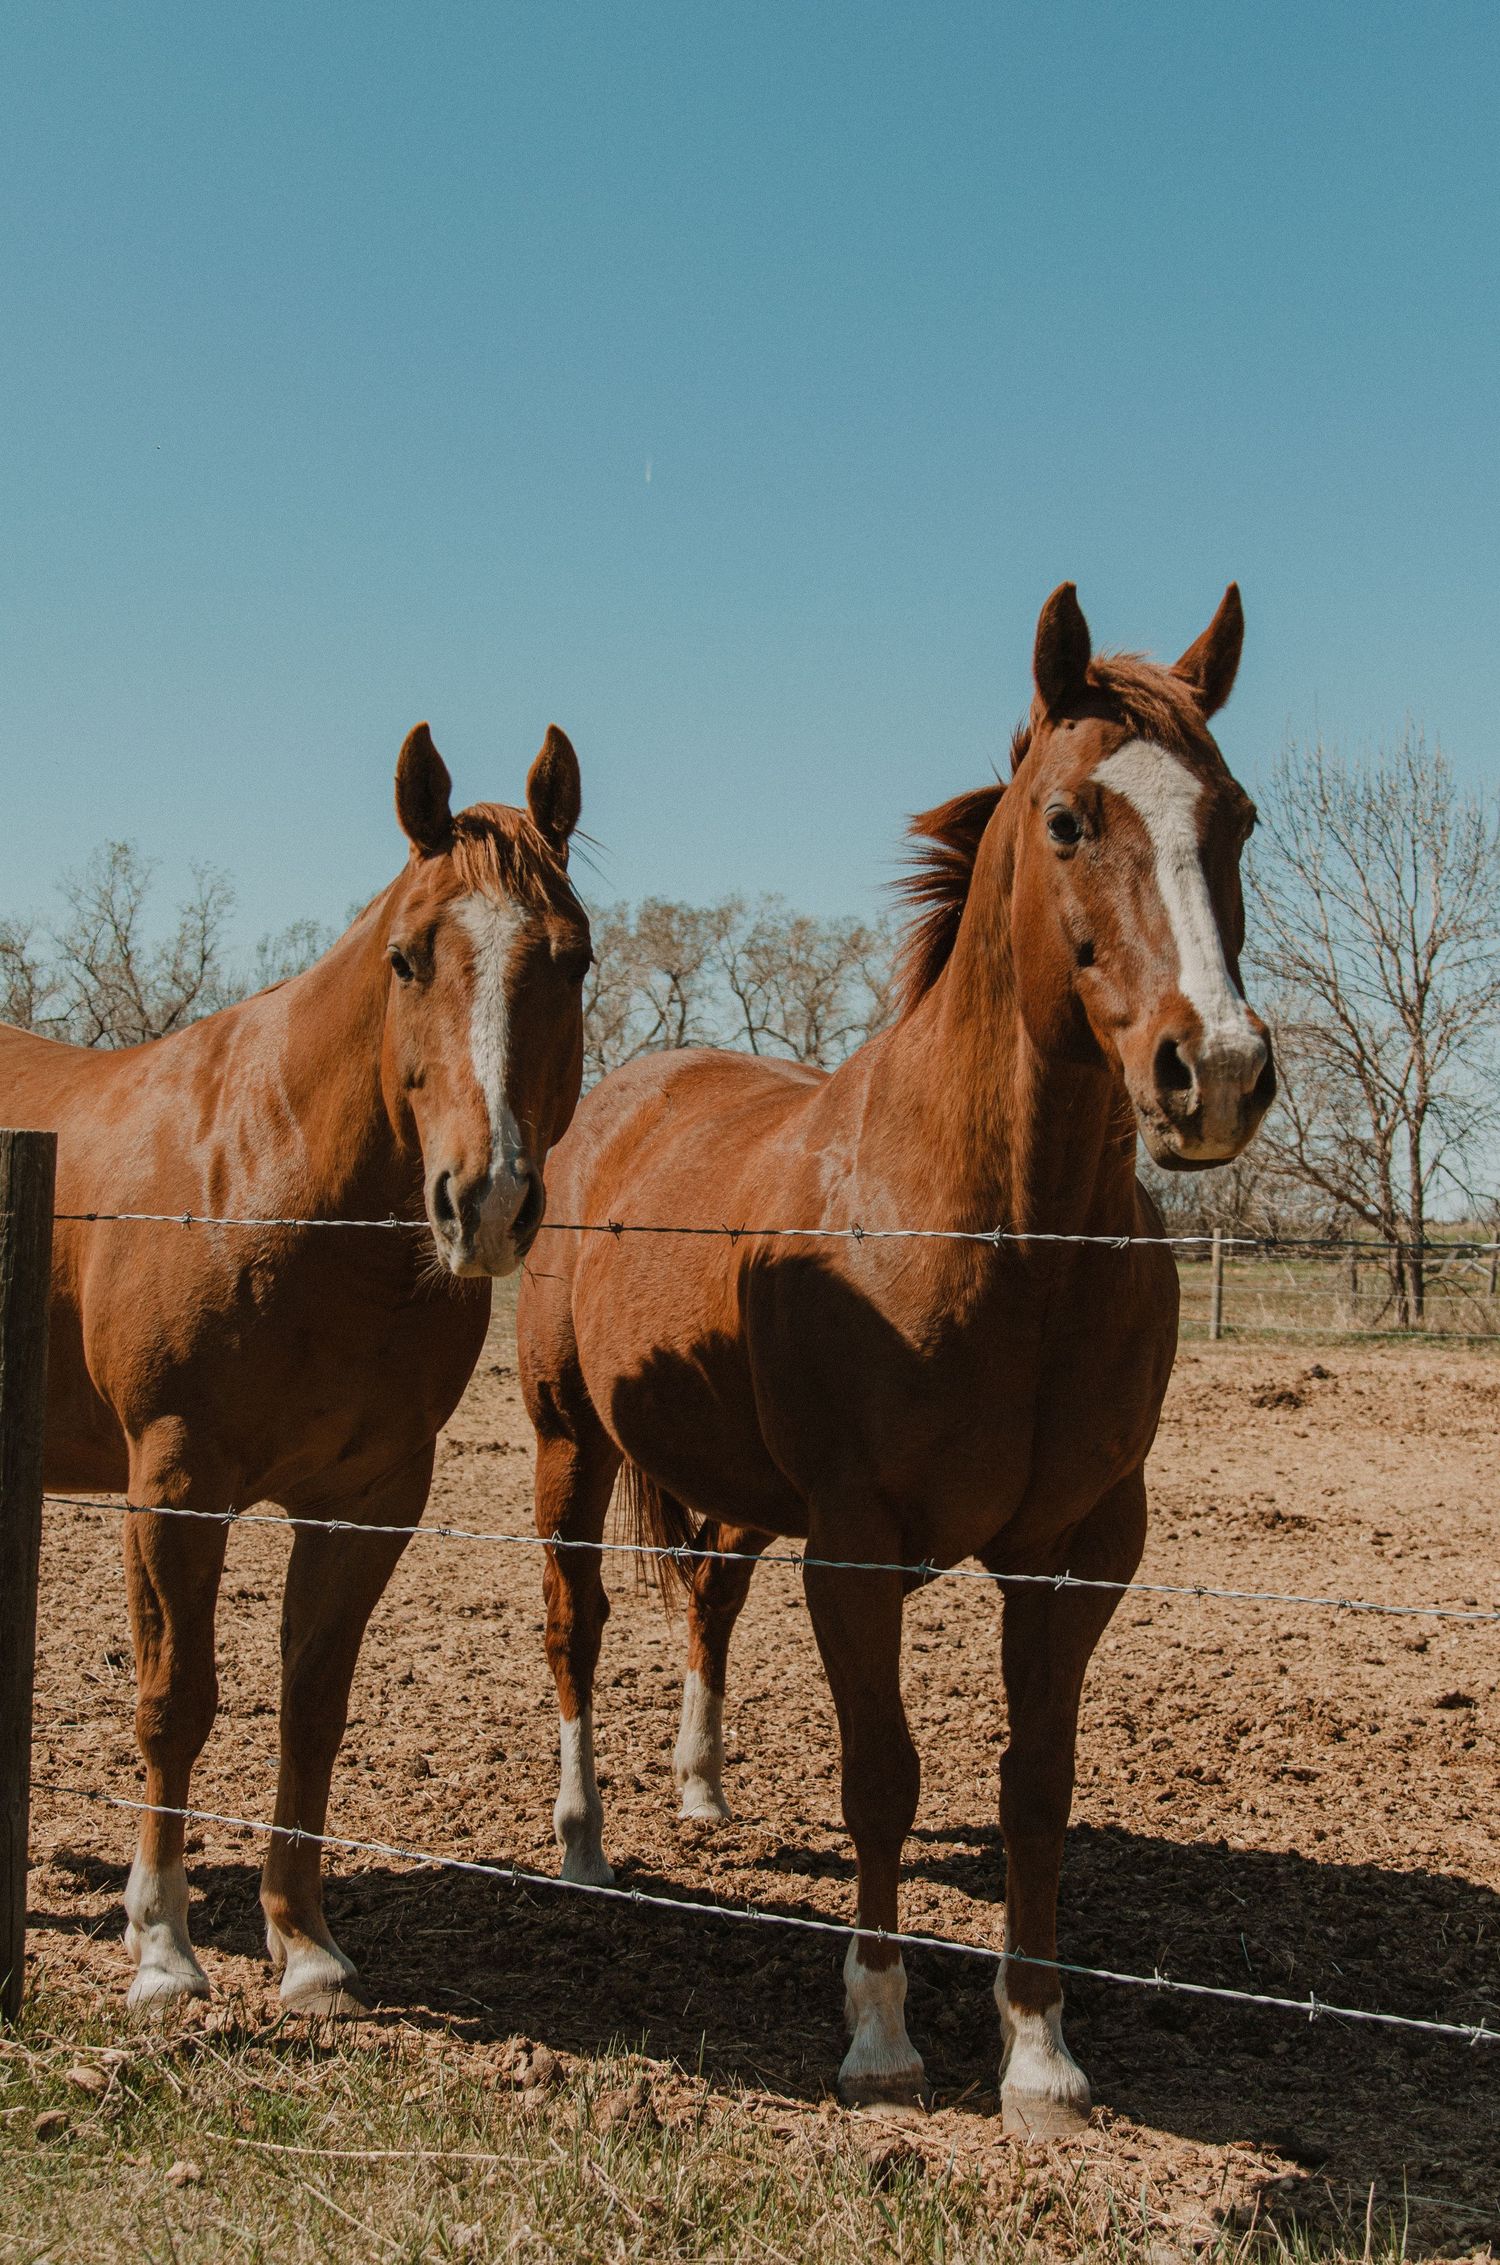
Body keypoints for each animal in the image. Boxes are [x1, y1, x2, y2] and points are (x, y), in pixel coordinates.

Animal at [4, 721, 590, 2016]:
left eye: (572, 962)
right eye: (408, 959)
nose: (485, 1200)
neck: (274, 1179)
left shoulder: (370, 1499)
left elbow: (313, 1709)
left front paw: (305, 1945)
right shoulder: (175, 1482)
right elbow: (176, 1703)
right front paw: (164, 1950)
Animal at [516, 586, 1274, 2133]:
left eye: (1235, 817)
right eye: (1069, 818)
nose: (1215, 1073)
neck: (995, 1231)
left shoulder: (1078, 1553)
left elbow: (1035, 1786)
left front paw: (1040, 2052)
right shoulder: (857, 1545)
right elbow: (884, 1775)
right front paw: (879, 2035)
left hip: (737, 1489)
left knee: (709, 1596)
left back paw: (702, 1786)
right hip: (571, 1442)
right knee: (579, 1622)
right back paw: (587, 1841)